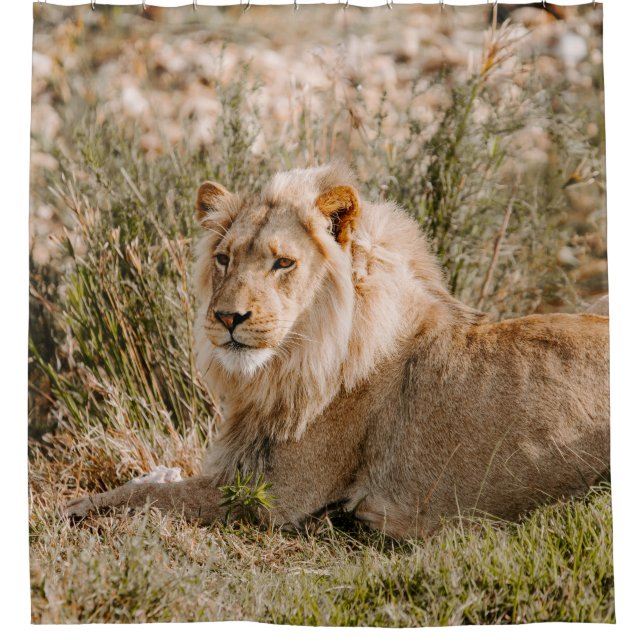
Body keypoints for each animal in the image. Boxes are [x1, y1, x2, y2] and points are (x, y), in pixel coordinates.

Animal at [66, 163, 610, 538]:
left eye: (283, 263)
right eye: (223, 259)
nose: (227, 318)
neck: (288, 365)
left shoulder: (270, 496)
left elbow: (154, 496)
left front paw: (77, 508)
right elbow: (154, 484)